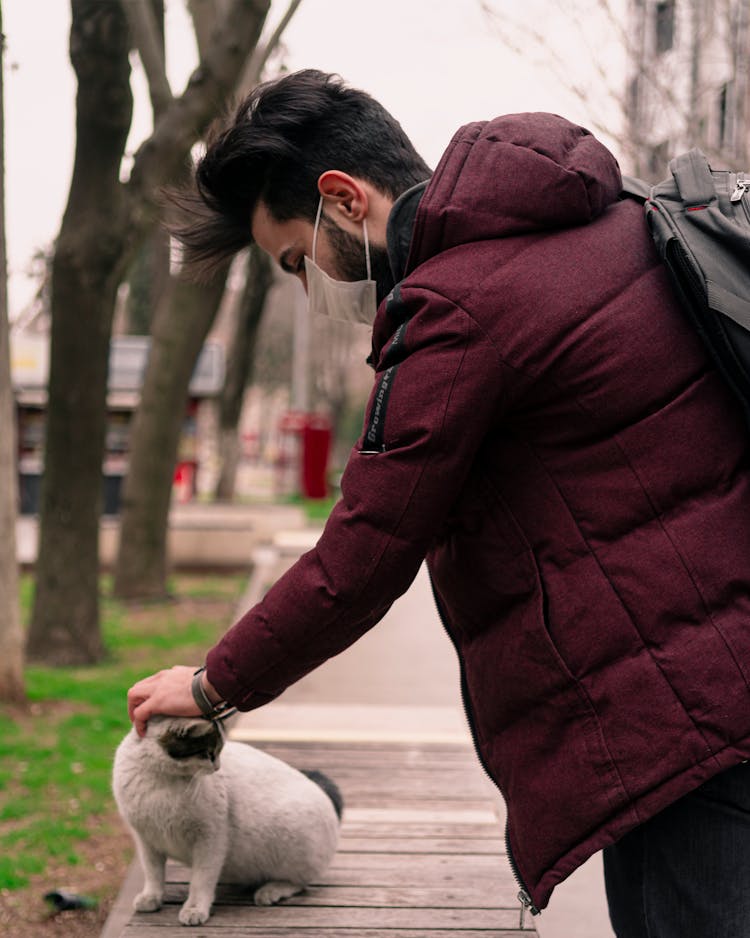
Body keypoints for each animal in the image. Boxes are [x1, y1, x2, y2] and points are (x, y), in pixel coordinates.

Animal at [111, 716, 344, 920]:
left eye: (217, 752)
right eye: (209, 753)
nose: (217, 767)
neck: (161, 781)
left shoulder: (210, 840)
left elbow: (200, 880)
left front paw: (194, 910)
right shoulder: (147, 841)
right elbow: (153, 875)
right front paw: (151, 899)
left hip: (291, 845)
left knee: (299, 882)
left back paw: (270, 891)